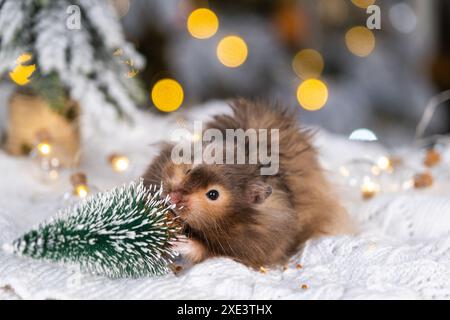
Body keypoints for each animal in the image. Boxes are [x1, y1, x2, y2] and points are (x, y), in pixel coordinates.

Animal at [143, 98, 352, 268]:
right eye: (188, 170)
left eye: (213, 194)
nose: (172, 198)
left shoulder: (251, 246)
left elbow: (208, 250)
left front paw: (180, 243)